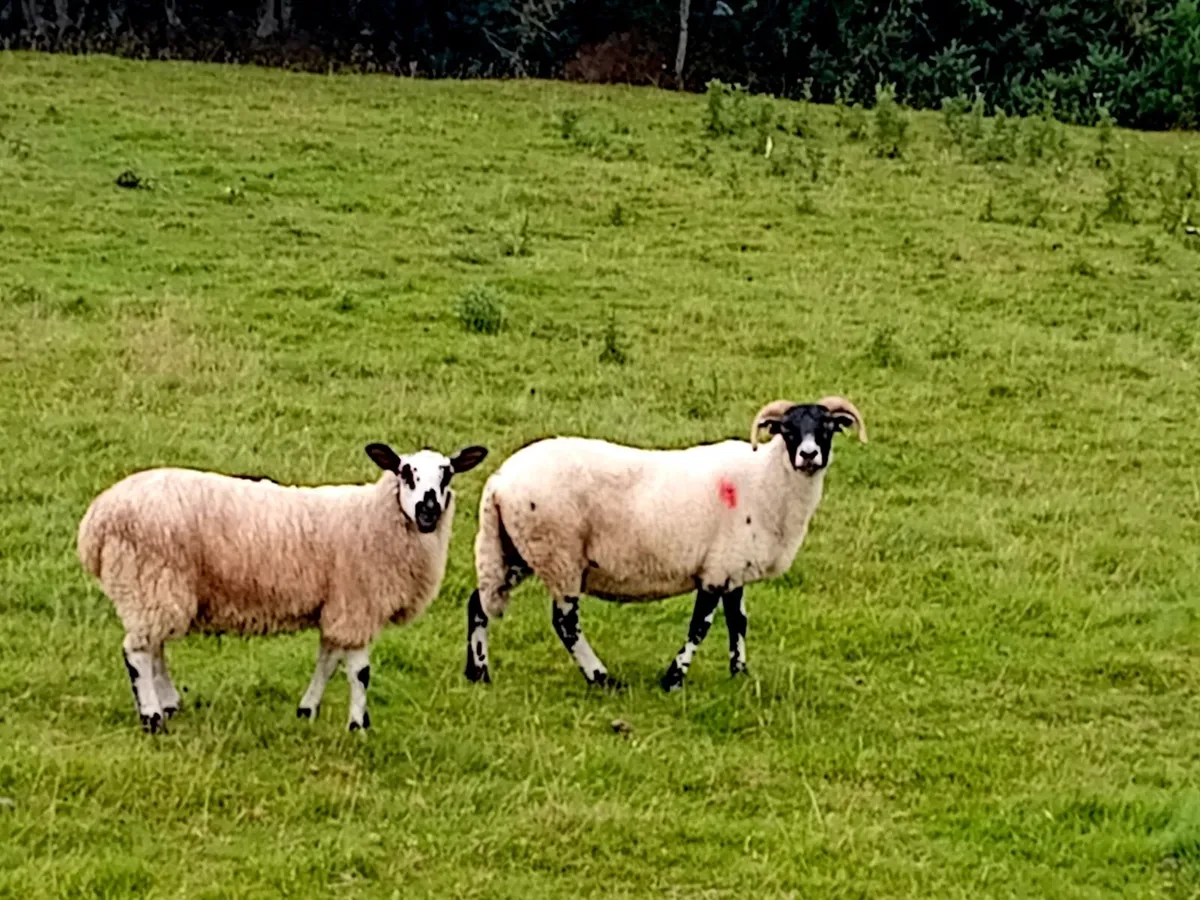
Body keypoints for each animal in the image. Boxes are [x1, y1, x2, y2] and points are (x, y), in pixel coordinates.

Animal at [77, 442, 488, 733]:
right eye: (406, 473)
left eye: (447, 474)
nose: (428, 510)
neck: (375, 517)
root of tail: (95, 521)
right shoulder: (357, 603)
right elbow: (359, 671)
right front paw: (358, 725)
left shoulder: (336, 604)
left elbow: (327, 661)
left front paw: (307, 709)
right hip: (150, 580)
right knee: (137, 653)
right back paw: (152, 718)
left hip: (157, 589)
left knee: (155, 648)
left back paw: (169, 704)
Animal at [463, 398, 865, 691]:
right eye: (787, 430)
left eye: (827, 427)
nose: (809, 455)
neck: (767, 480)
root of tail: (498, 481)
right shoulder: (715, 571)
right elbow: (700, 626)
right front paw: (673, 678)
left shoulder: (734, 569)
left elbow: (738, 622)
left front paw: (740, 673)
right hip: (557, 554)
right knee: (565, 622)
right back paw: (601, 678)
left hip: (515, 550)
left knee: (478, 603)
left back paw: (478, 673)